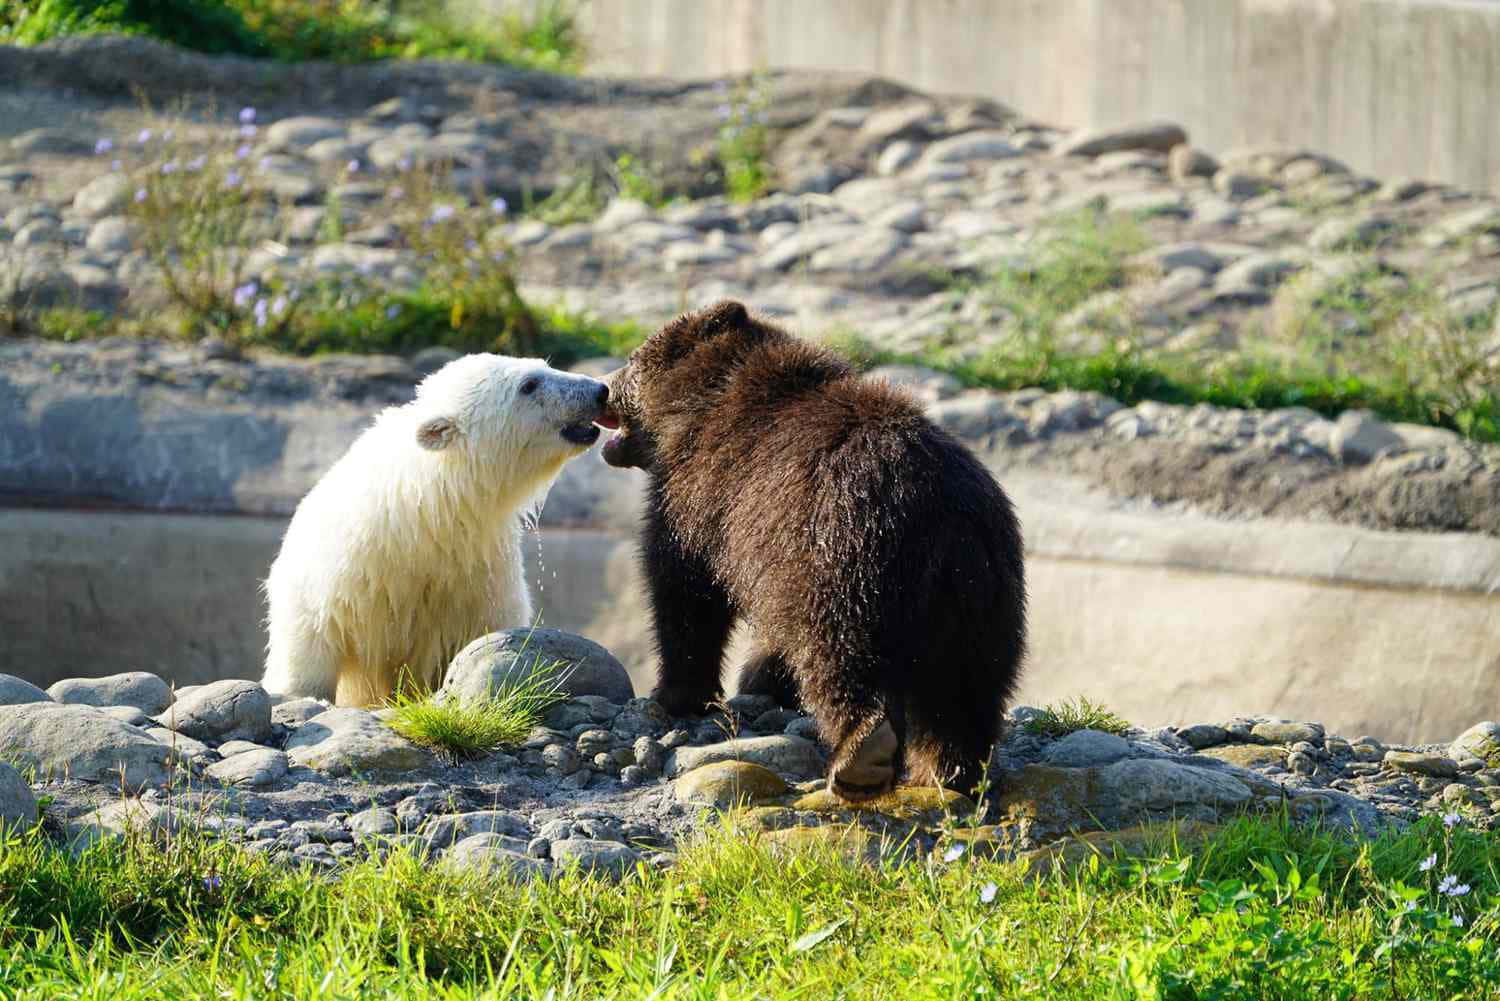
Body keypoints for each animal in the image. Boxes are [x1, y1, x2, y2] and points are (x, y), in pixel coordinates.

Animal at [261, 353, 615, 707]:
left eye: (545, 364)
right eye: (528, 384)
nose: (600, 390)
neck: (426, 514)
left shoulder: (482, 574)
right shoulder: (338, 579)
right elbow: (309, 644)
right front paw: (306, 696)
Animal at [598, 301, 1026, 800]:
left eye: (631, 358)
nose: (602, 386)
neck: (694, 409)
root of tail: (942, 519)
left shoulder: (702, 498)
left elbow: (685, 591)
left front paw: (675, 693)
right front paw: (761, 680)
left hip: (847, 561)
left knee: (841, 655)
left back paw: (860, 758)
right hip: (984, 594)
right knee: (966, 689)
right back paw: (950, 770)